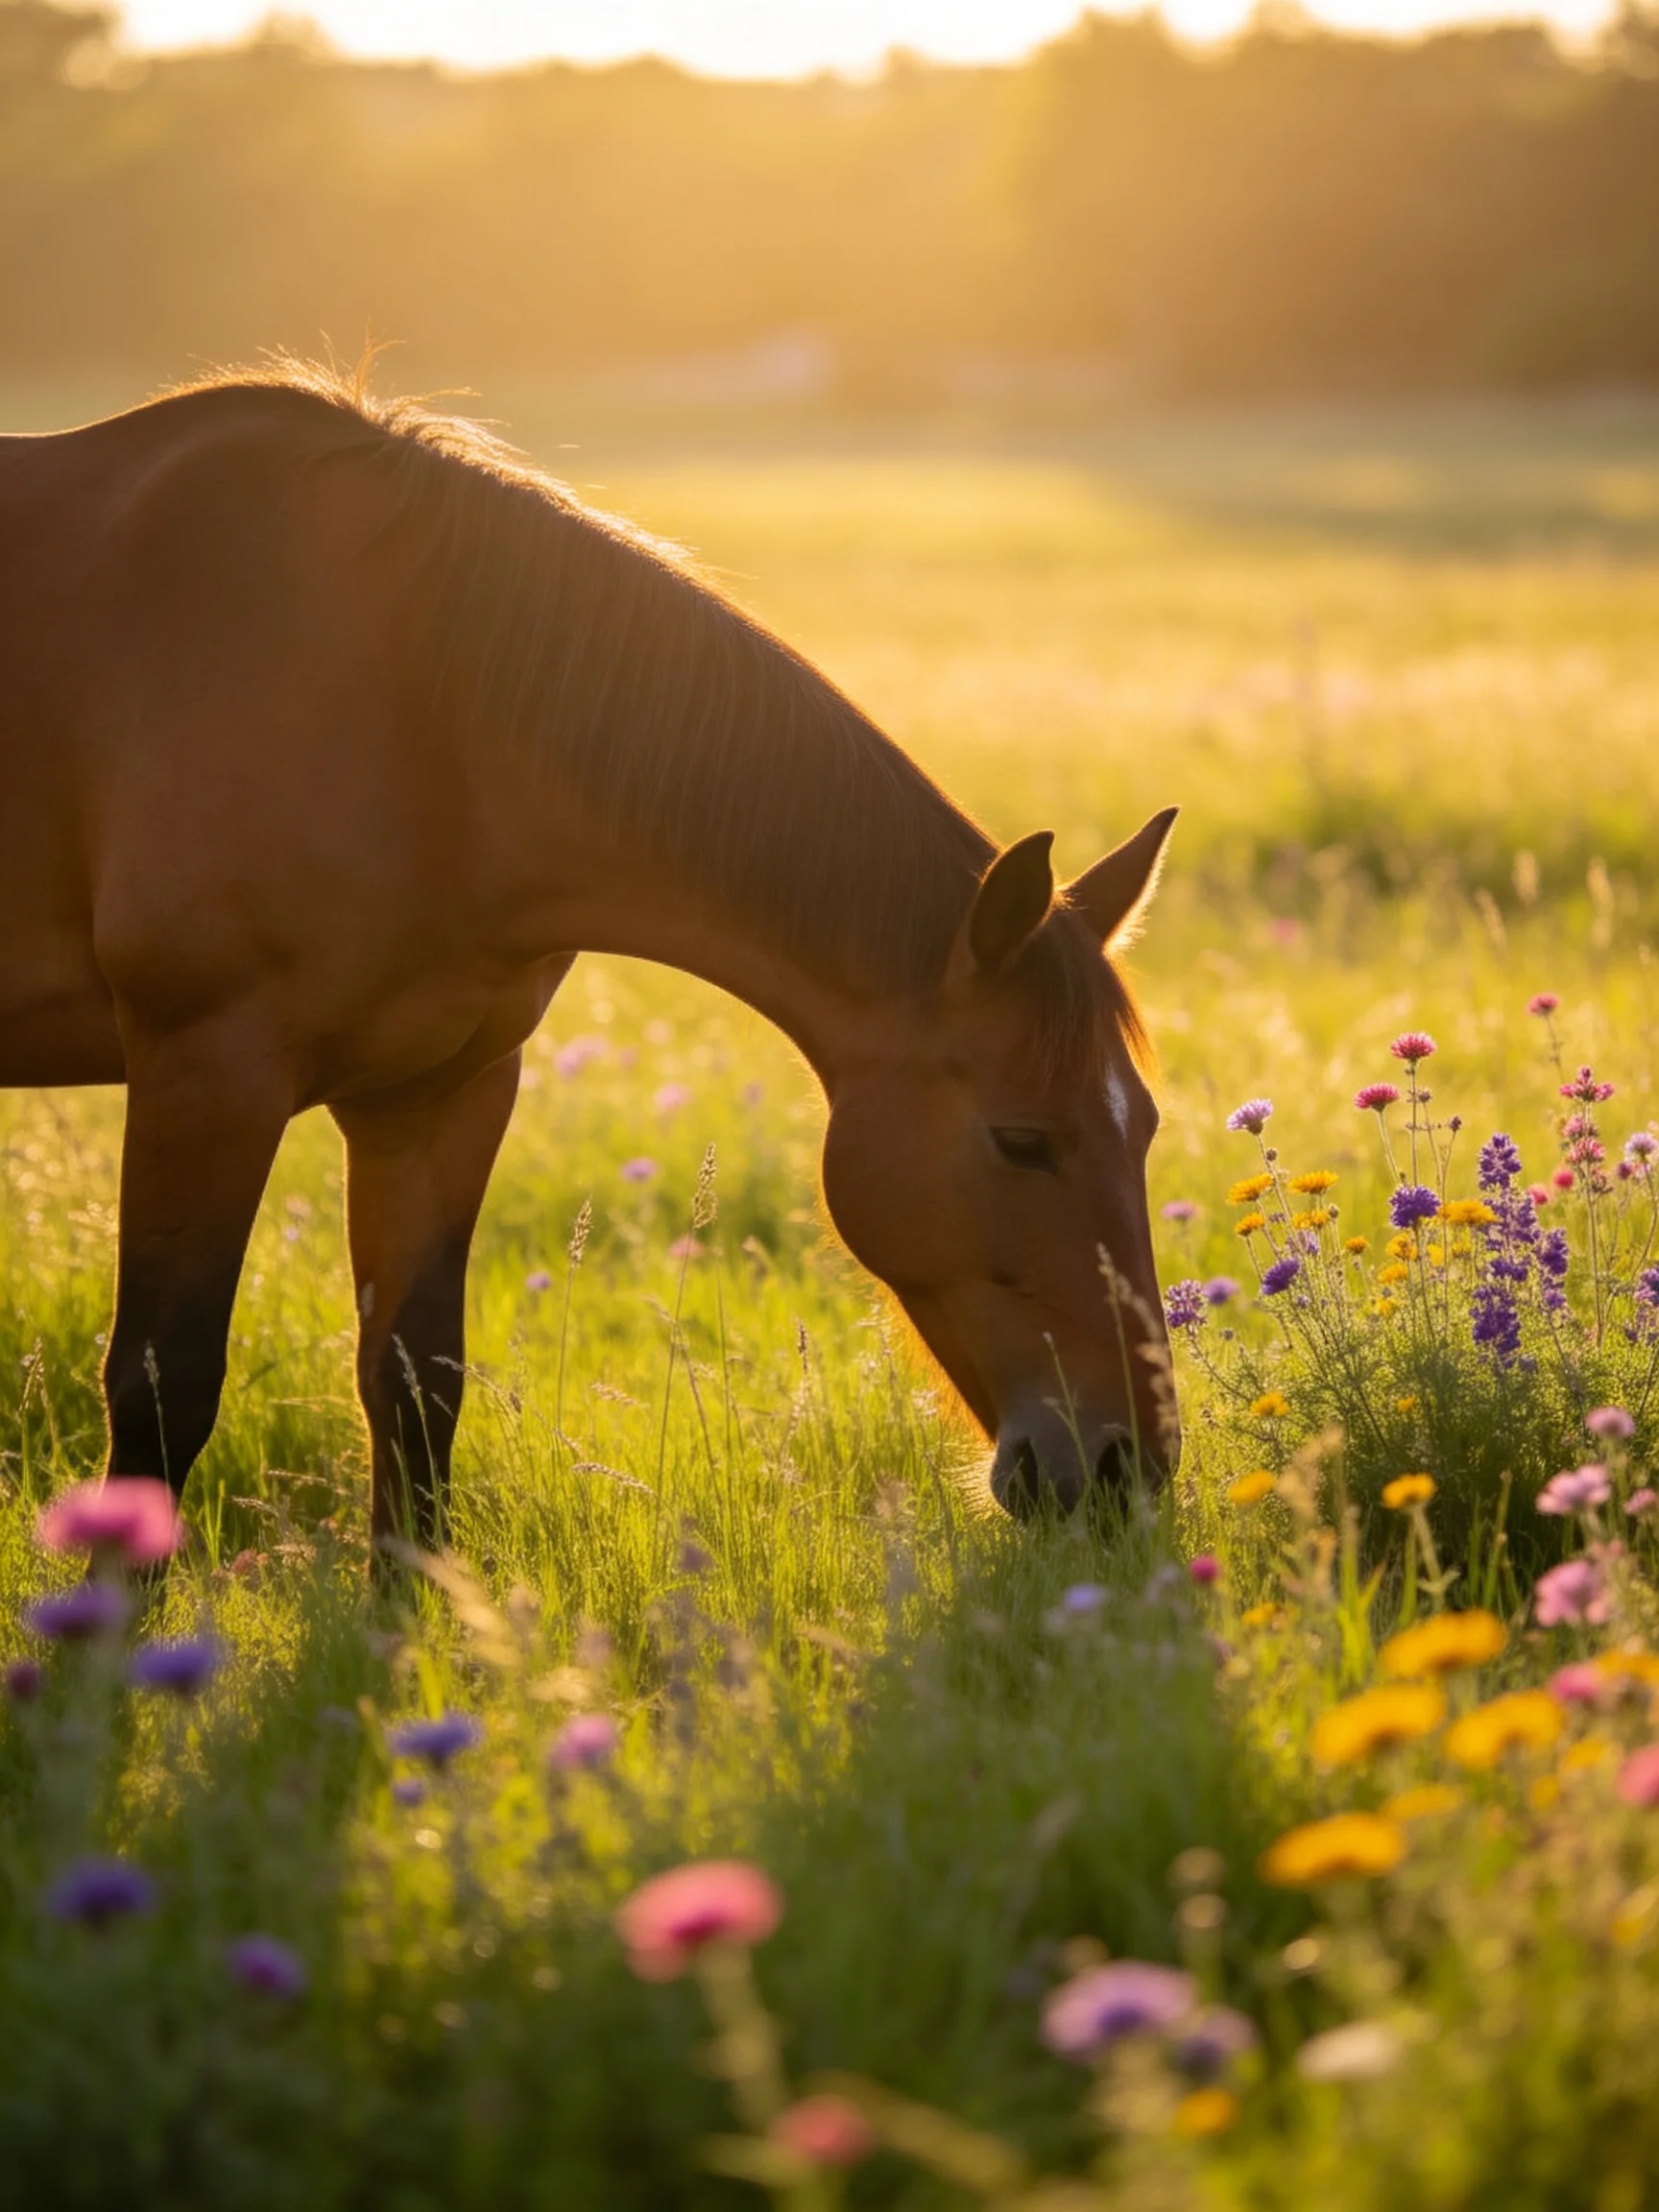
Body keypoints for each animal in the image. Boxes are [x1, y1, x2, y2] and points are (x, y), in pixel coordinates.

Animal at [0, 362, 1179, 1548]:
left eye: (1146, 1131)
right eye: (1022, 1141)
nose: (1125, 1466)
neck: (413, 711)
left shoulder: (439, 1092)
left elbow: (416, 1386)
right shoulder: (206, 1073)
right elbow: (162, 1393)